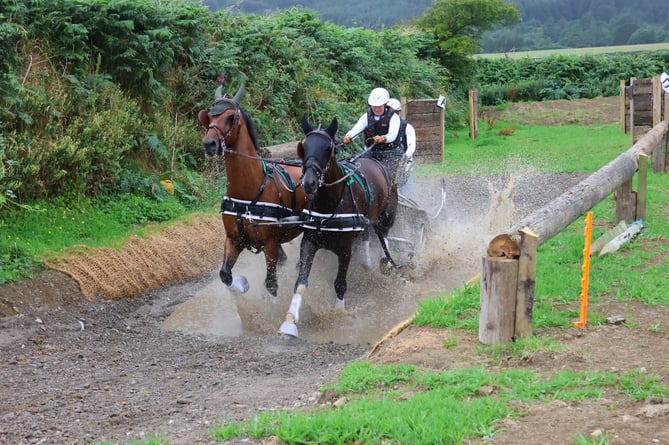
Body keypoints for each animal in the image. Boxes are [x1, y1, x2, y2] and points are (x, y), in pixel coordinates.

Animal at [196, 83, 306, 298]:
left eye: (230, 117)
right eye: (209, 116)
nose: (209, 144)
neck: (248, 193)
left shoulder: (270, 245)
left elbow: (271, 284)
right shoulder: (234, 239)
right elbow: (225, 275)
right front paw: (239, 288)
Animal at [276, 116, 396, 334]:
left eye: (327, 148)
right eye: (304, 147)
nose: (309, 182)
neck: (329, 203)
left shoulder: (345, 248)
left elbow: (340, 283)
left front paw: (339, 313)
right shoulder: (309, 242)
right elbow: (301, 282)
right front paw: (289, 322)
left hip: (387, 216)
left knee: (384, 236)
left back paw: (387, 263)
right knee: (367, 236)